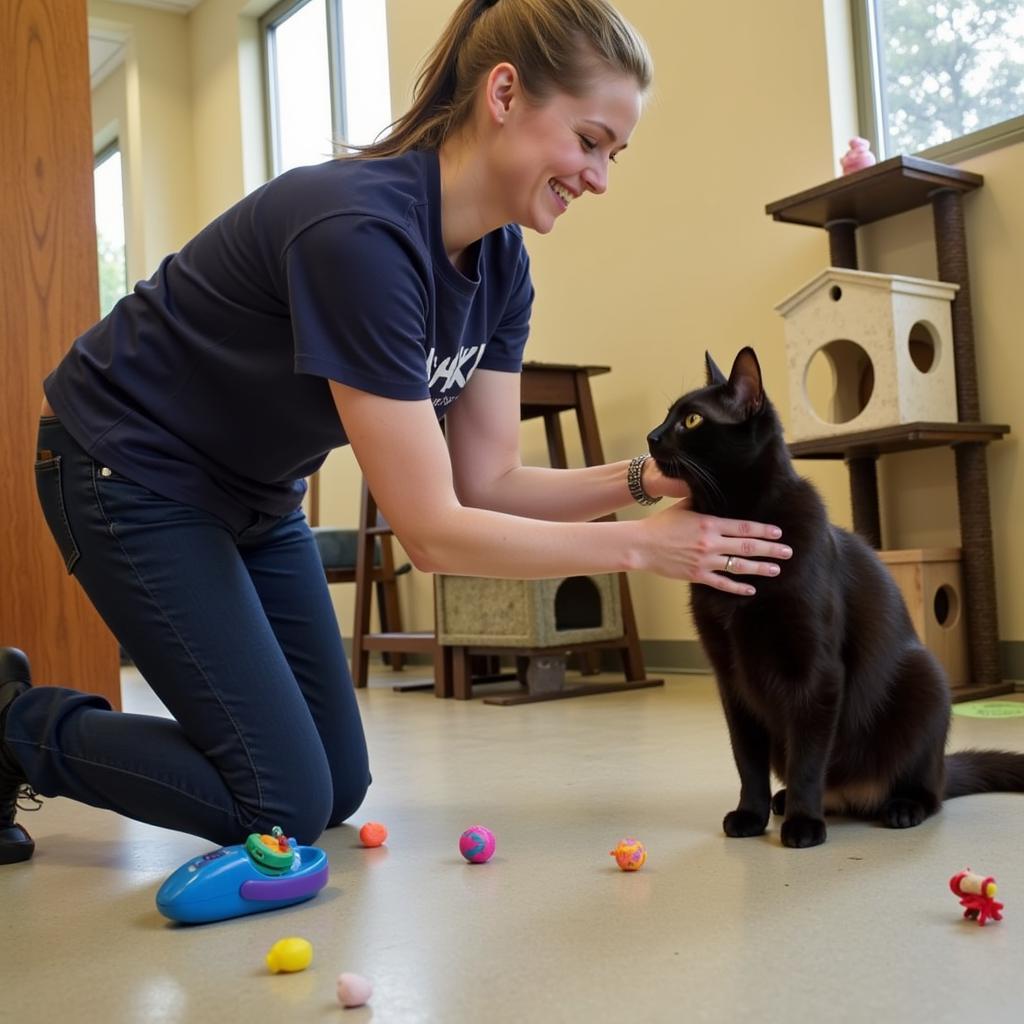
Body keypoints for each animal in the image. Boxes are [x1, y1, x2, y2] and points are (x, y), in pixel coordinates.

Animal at [647, 348, 1024, 851]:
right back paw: (783, 801)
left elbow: (808, 757)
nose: (651, 437)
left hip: (926, 681)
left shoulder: (816, 672)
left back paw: (898, 807)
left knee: (929, 789)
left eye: (691, 420)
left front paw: (805, 825)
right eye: (669, 414)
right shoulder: (731, 679)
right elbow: (746, 760)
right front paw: (751, 815)